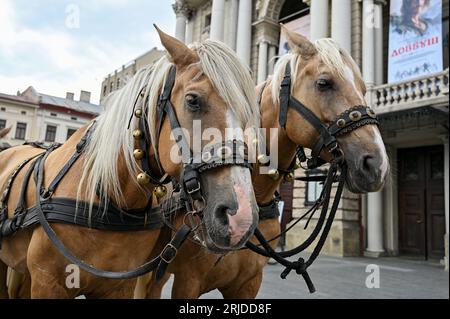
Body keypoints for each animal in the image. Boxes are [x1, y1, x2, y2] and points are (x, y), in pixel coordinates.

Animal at [0, 27, 260, 300]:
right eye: (192, 100)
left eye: (249, 113)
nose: (240, 217)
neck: (105, 200)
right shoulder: (47, 283)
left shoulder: (119, 287)